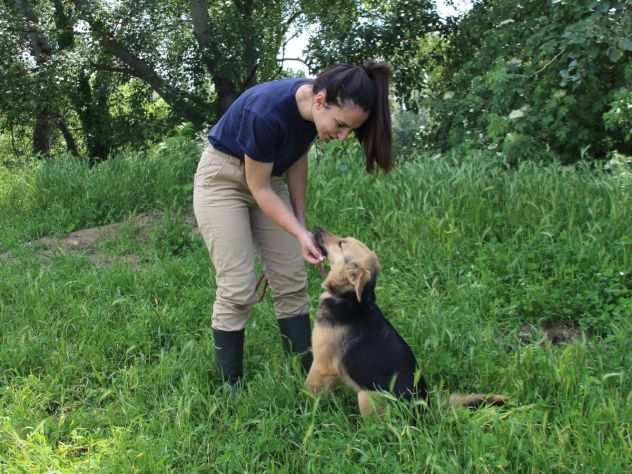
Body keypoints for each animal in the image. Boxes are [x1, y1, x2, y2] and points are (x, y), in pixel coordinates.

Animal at [306, 228, 508, 416]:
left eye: (341, 243)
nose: (316, 228)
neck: (350, 299)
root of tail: (427, 408)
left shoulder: (321, 366)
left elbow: (308, 389)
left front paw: (305, 410)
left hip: (366, 396)